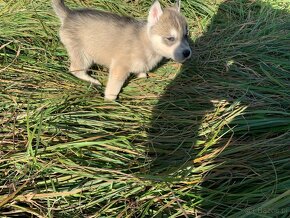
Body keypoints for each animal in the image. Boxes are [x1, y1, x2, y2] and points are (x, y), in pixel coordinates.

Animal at [53, 0, 191, 100]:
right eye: (170, 38)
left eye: (186, 35)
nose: (187, 53)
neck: (147, 43)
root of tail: (68, 14)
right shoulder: (119, 67)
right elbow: (114, 87)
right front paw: (110, 100)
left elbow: (141, 72)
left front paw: (142, 77)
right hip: (84, 56)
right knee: (75, 70)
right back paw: (93, 81)